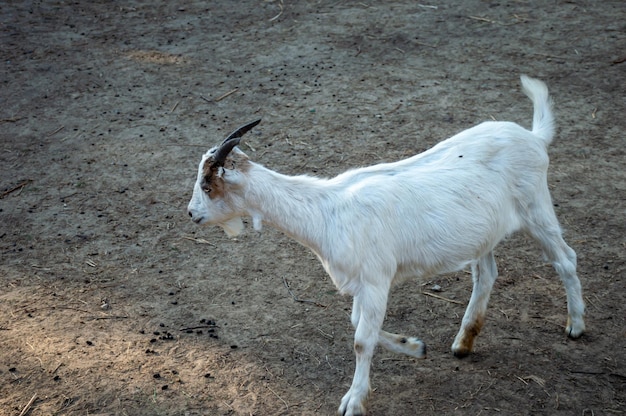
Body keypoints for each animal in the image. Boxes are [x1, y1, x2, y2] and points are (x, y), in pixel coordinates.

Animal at [186, 76, 584, 414]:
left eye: (207, 185)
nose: (191, 213)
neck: (326, 211)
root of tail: (534, 138)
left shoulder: (376, 279)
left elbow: (361, 338)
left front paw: (353, 401)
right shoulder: (362, 284)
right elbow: (358, 323)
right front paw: (415, 346)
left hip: (537, 209)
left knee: (566, 259)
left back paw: (576, 325)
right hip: (484, 232)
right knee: (486, 273)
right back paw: (463, 343)